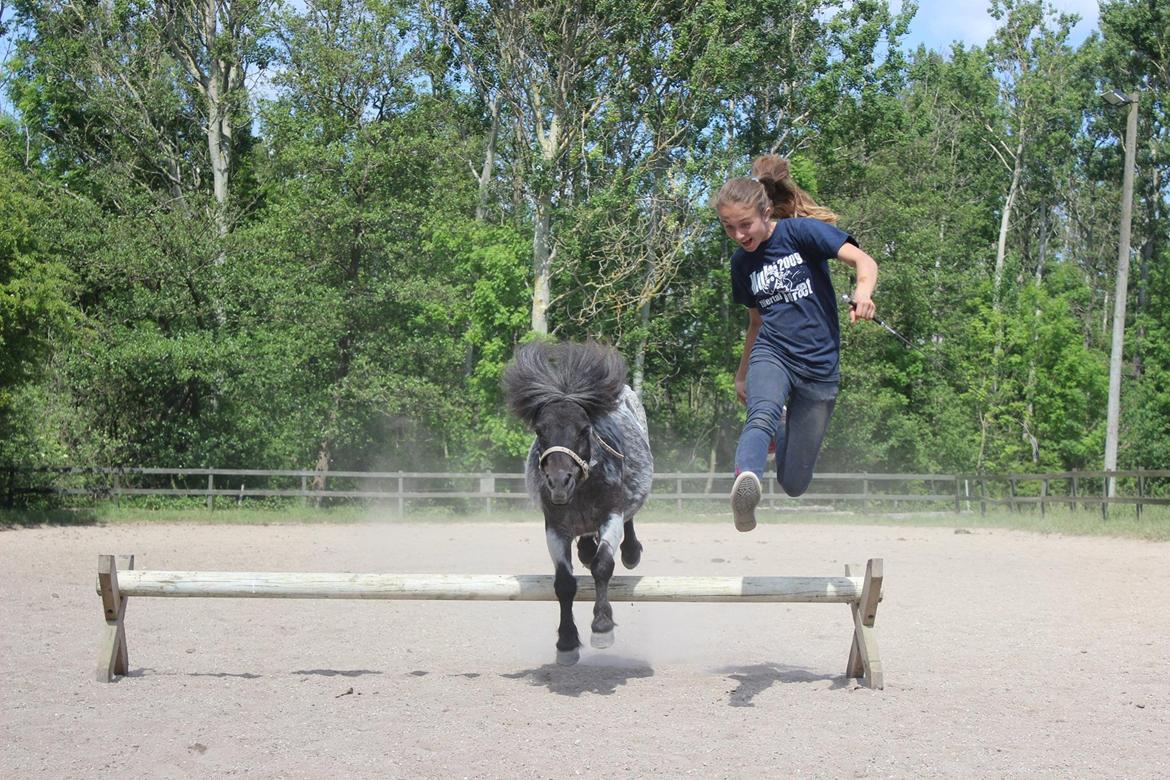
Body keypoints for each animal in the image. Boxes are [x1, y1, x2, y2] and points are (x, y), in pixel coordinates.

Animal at [500, 341, 655, 664]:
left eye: (584, 429)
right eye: (540, 430)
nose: (559, 482)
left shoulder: (611, 515)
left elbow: (603, 566)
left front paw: (602, 626)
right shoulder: (555, 528)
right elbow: (564, 583)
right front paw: (567, 642)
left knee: (629, 522)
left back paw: (630, 552)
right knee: (584, 541)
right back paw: (585, 549)